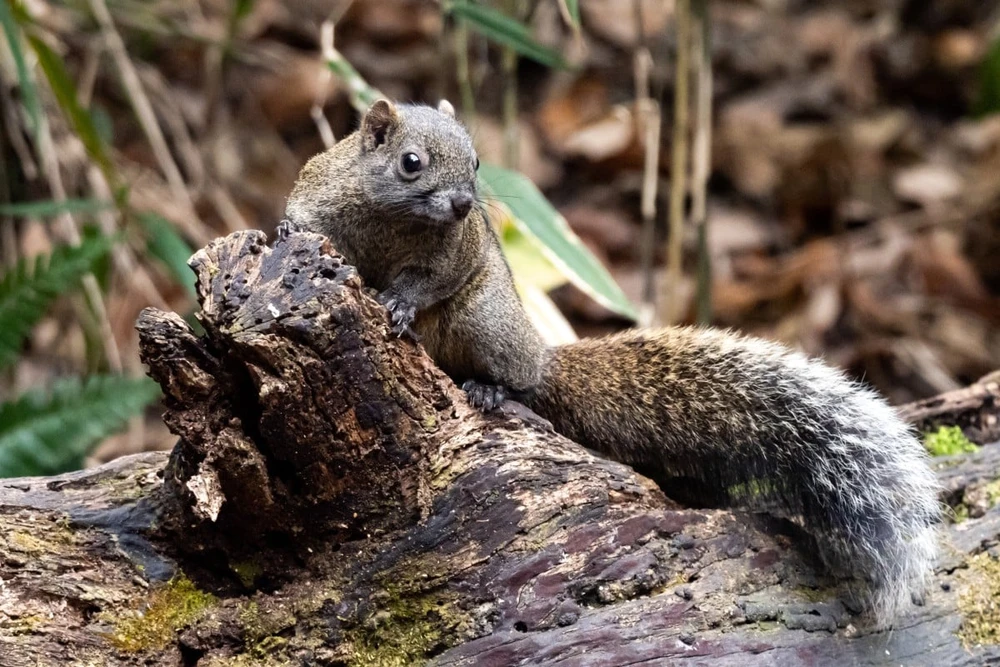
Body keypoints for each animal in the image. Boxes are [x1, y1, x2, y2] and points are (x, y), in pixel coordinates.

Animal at [286, 98, 940, 628]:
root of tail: (539, 350)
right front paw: (290, 241)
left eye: (475, 162)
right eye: (411, 162)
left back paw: (494, 390)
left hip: (487, 320)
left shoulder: (455, 251)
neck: (392, 221)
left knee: (522, 380)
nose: (466, 203)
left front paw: (399, 301)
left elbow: (429, 280)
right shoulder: (320, 195)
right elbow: (304, 224)